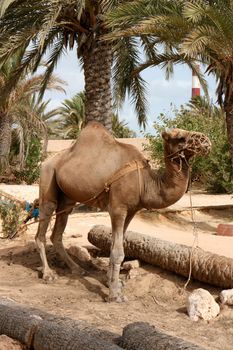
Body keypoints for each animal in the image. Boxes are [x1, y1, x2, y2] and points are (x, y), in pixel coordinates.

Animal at [36, 120, 211, 300]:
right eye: (180, 137)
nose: (206, 141)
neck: (145, 182)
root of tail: (47, 162)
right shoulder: (118, 208)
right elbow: (117, 251)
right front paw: (114, 294)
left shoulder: (131, 211)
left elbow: (115, 245)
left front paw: (112, 282)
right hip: (48, 179)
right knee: (43, 224)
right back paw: (48, 274)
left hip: (67, 199)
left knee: (57, 231)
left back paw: (77, 268)